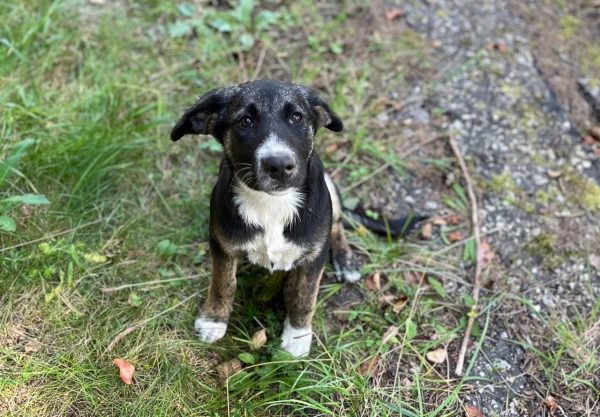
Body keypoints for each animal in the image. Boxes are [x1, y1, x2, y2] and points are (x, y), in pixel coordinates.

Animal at [171, 79, 418, 356]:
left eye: (297, 117)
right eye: (245, 121)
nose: (278, 165)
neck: (272, 203)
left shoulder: (313, 258)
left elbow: (303, 296)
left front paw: (297, 337)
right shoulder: (221, 245)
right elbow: (222, 284)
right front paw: (214, 321)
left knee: (337, 224)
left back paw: (345, 260)